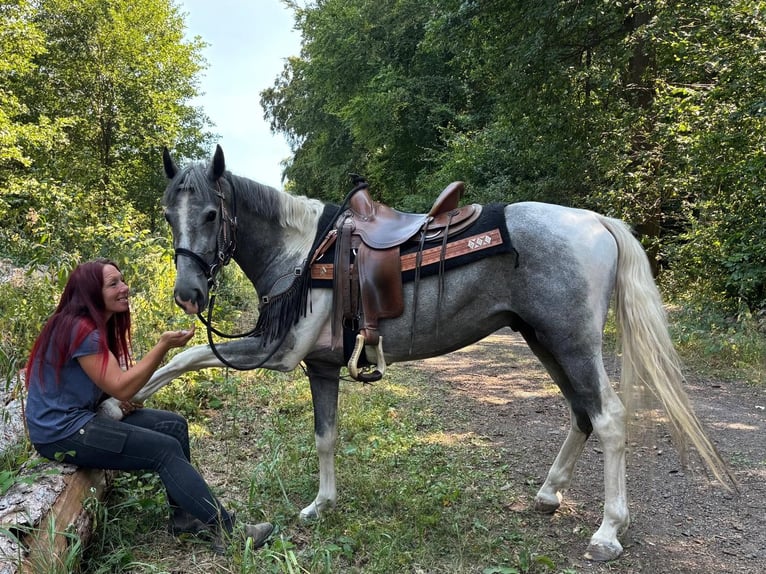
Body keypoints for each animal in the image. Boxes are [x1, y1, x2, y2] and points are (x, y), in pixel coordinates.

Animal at [100, 145, 733, 561]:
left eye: (211, 214)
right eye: (168, 214)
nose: (187, 294)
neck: (304, 251)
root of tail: (597, 222)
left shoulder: (273, 351)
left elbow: (182, 360)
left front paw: (111, 406)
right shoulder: (319, 365)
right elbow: (325, 436)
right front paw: (321, 506)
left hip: (572, 342)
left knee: (609, 419)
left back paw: (607, 532)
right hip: (543, 340)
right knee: (582, 414)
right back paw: (548, 495)